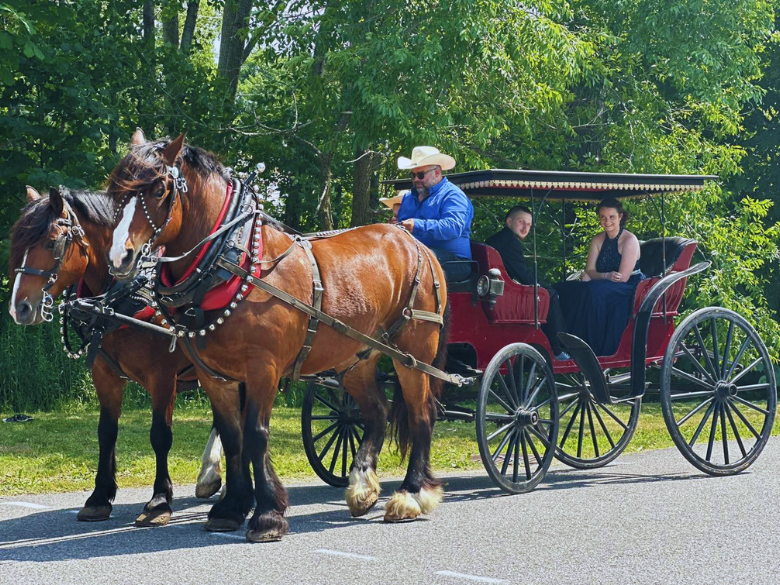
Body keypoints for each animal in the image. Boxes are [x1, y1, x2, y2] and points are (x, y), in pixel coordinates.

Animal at [8, 186, 222, 524]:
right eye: (18, 242)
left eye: (52, 242)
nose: (20, 308)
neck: (120, 298)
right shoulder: (105, 375)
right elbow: (106, 432)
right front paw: (99, 497)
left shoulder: (163, 377)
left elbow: (160, 435)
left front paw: (159, 501)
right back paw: (210, 477)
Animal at [106, 130, 448, 540]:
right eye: (113, 189)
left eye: (159, 189)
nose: (120, 258)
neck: (235, 262)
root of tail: (413, 240)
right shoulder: (213, 374)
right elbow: (232, 436)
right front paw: (231, 507)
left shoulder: (263, 367)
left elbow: (255, 434)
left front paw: (267, 513)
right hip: (355, 358)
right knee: (377, 412)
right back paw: (363, 487)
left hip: (414, 352)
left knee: (420, 416)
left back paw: (411, 495)